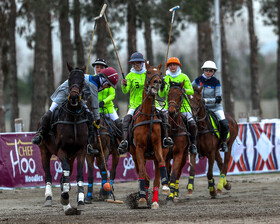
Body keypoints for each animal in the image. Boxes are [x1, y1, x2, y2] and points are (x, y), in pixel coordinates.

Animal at [38, 64, 88, 214]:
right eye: (69, 78)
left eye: (83, 79)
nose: (74, 97)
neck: (73, 117)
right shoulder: (61, 150)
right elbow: (64, 173)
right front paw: (65, 198)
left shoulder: (81, 151)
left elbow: (78, 174)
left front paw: (80, 200)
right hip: (44, 151)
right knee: (48, 175)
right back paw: (49, 198)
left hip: (71, 156)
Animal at [129, 61, 170, 210]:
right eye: (148, 72)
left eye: (160, 73)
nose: (157, 82)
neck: (147, 116)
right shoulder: (139, 149)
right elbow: (142, 173)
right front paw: (141, 199)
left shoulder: (158, 145)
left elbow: (161, 164)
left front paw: (165, 187)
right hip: (135, 155)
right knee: (144, 175)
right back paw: (144, 197)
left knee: (156, 179)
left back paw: (154, 201)